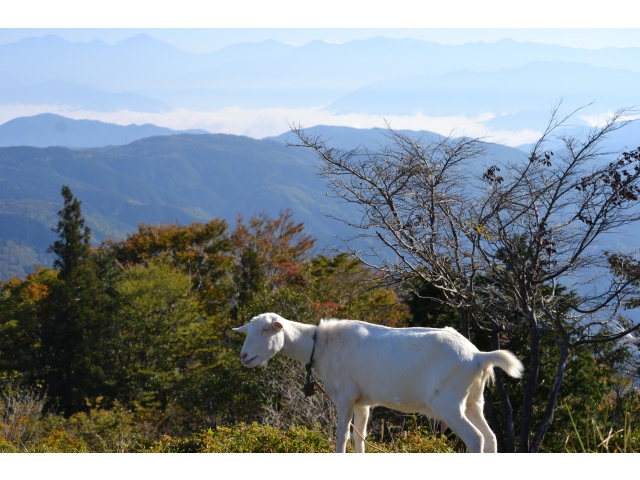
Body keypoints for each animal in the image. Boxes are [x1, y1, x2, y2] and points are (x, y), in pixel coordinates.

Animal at [232, 314, 524, 452]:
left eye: (266, 329)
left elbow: (342, 436)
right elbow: (359, 438)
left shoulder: (345, 396)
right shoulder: (363, 403)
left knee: (475, 439)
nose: (244, 357)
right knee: (490, 438)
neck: (322, 346)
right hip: (473, 400)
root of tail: (477, 356)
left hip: (448, 403)